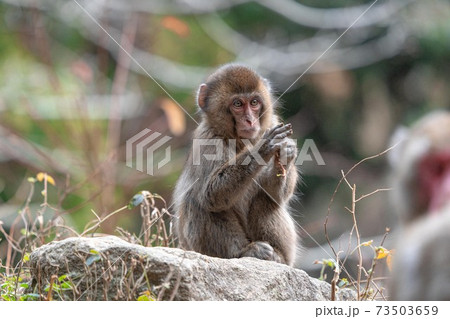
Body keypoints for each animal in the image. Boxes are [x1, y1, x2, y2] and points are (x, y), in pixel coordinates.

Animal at [172, 63, 298, 266]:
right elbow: (211, 194)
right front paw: (263, 148)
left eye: (254, 102)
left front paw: (287, 153)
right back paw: (244, 252)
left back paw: (278, 256)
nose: (250, 120)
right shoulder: (208, 139)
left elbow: (275, 194)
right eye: (237, 104)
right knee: (197, 200)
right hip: (199, 249)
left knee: (265, 199)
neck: (239, 140)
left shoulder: (273, 122)